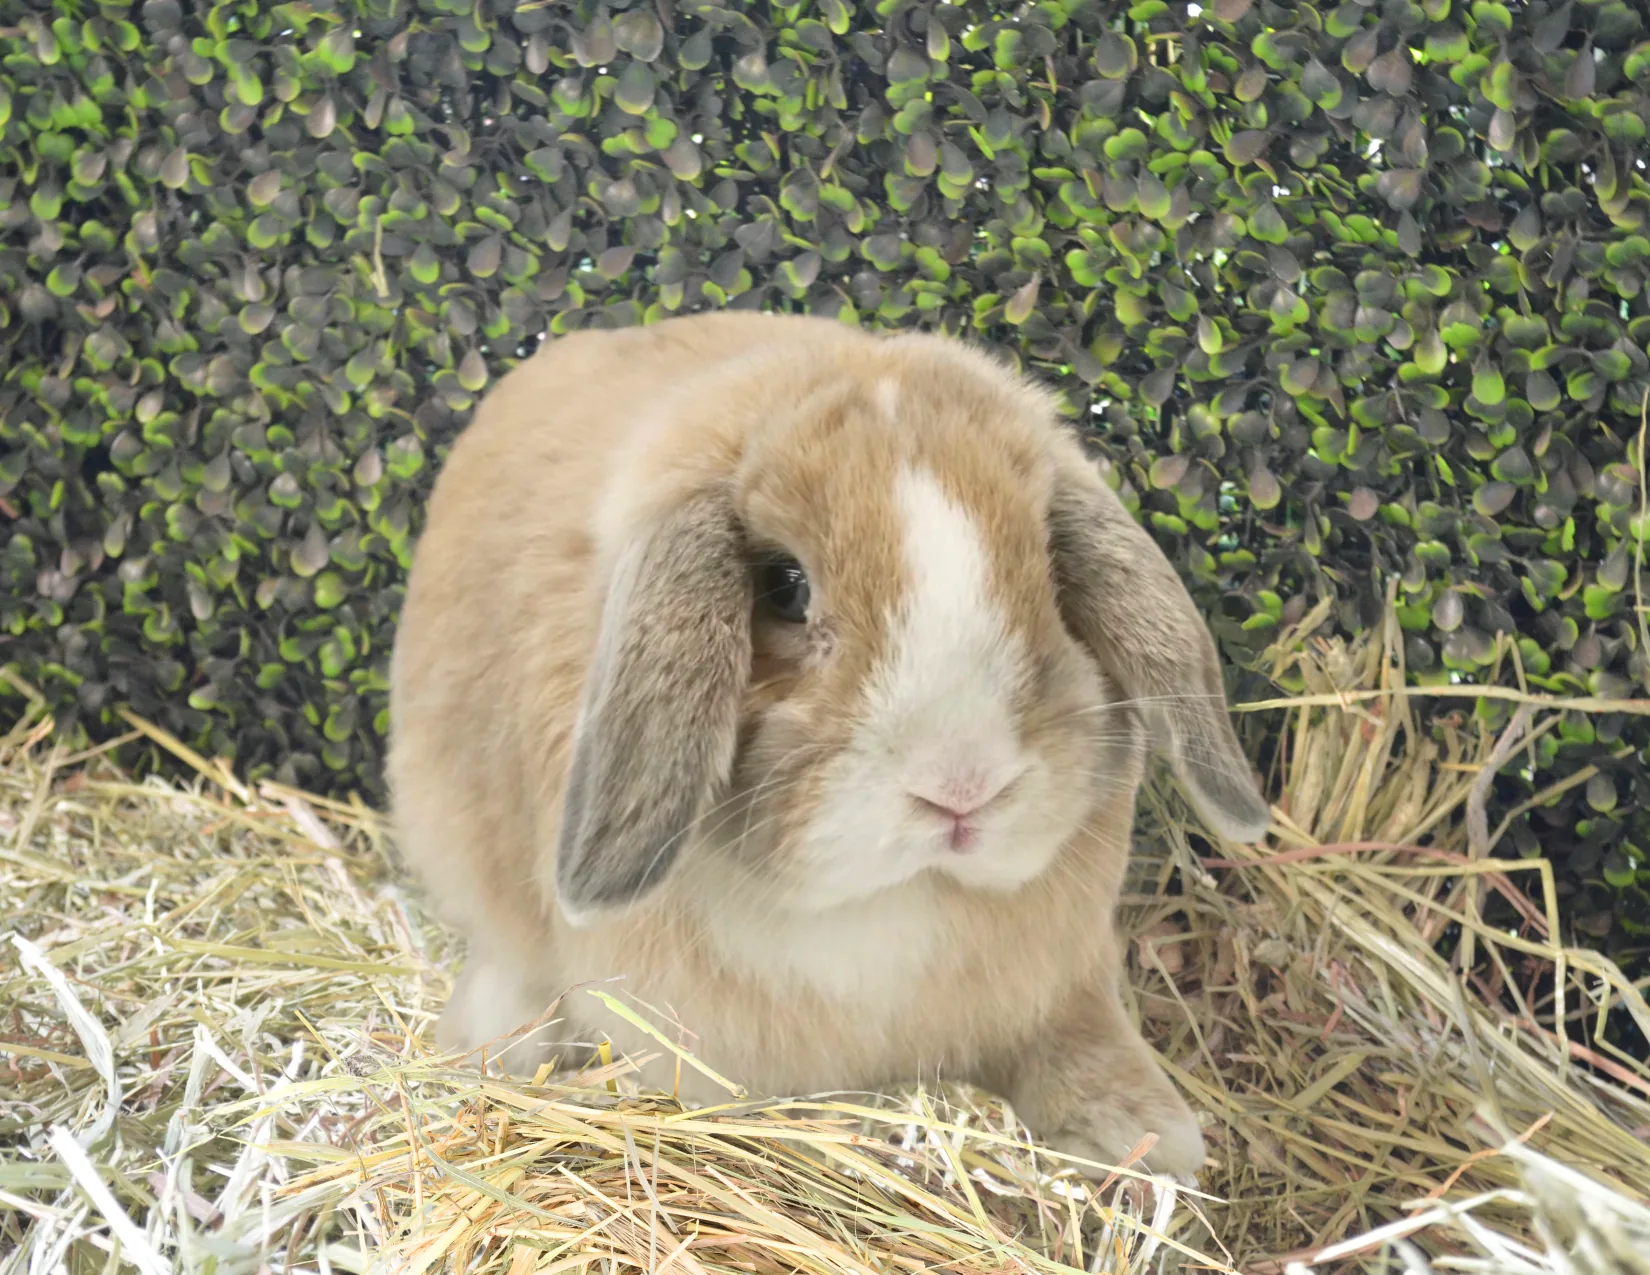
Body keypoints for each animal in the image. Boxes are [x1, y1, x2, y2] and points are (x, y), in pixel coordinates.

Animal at [386, 310, 1271, 1182]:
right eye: (784, 585)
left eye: (1049, 574)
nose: (963, 785)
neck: (891, 901)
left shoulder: (1060, 983)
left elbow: (1081, 1045)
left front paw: (1145, 1138)